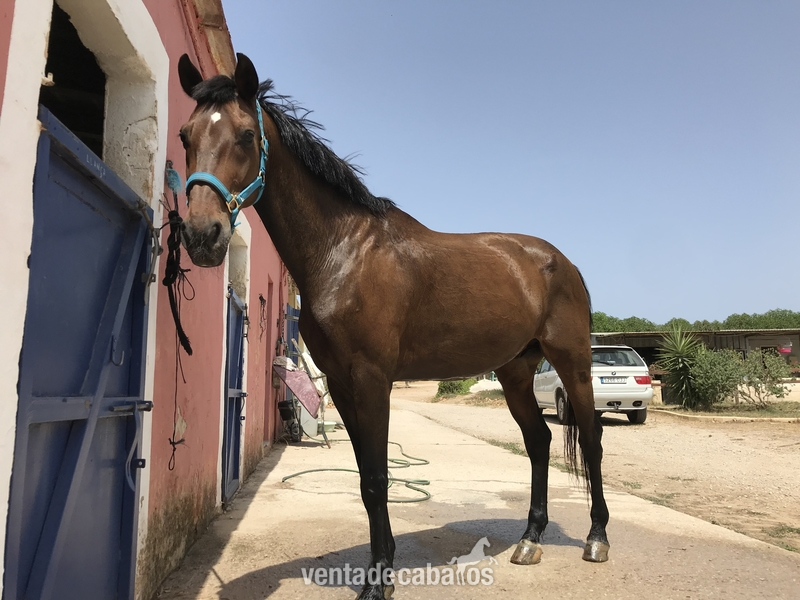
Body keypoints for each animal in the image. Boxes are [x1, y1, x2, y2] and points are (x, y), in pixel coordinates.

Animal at [177, 52, 609, 600]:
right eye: (186, 135)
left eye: (245, 136)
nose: (201, 235)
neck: (342, 252)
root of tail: (563, 263)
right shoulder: (341, 381)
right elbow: (364, 476)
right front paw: (379, 566)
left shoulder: (372, 378)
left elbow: (379, 478)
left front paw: (378, 579)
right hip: (514, 371)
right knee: (539, 442)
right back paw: (530, 540)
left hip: (573, 362)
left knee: (591, 440)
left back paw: (596, 538)